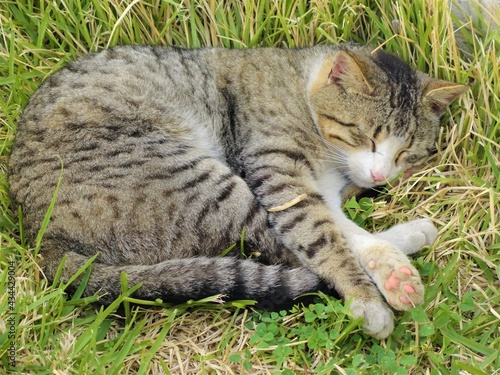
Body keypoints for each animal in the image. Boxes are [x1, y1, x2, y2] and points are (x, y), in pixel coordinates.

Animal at [7, 45, 468, 340]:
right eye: (365, 135)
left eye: (407, 152)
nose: (377, 175)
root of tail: (38, 233)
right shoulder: (281, 179)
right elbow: (325, 239)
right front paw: (369, 295)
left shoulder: (315, 189)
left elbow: (342, 229)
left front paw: (388, 266)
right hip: (206, 185)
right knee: (279, 249)